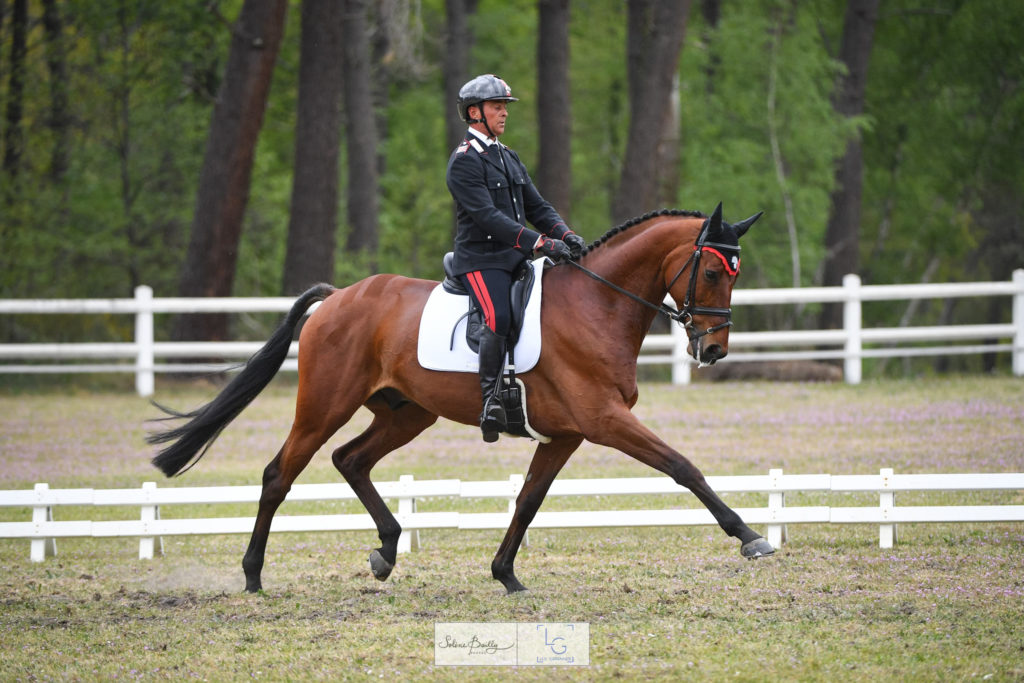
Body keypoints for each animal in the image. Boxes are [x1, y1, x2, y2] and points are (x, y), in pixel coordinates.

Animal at [144, 202, 770, 593]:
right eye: (713, 272)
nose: (714, 350)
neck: (597, 305)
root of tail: (339, 296)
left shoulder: (566, 434)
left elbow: (528, 499)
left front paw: (505, 573)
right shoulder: (603, 420)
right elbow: (682, 467)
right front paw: (750, 537)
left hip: (407, 414)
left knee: (350, 460)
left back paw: (387, 551)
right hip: (324, 406)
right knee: (280, 474)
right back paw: (253, 575)